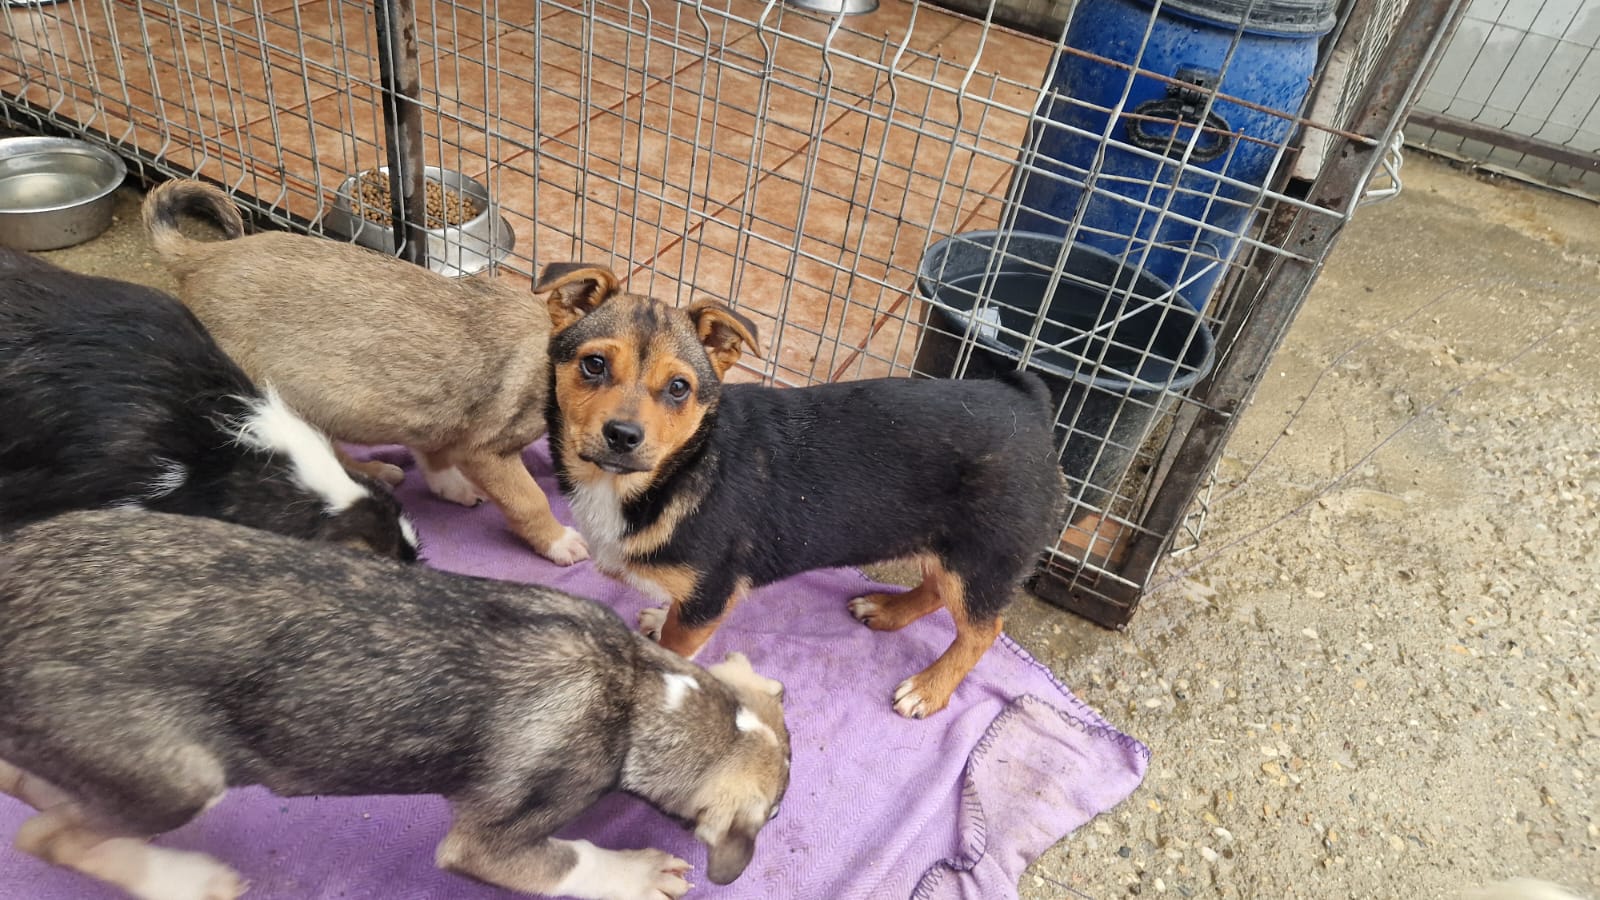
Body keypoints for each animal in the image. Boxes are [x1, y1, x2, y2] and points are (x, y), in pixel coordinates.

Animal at [0, 508, 790, 900]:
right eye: (778, 812)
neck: (640, 691)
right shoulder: (490, 842)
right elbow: (569, 862)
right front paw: (635, 873)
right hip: (178, 776)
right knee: (48, 838)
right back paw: (181, 881)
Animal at [140, 179, 586, 566]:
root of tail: (203, 258)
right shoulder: (489, 452)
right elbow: (529, 500)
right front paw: (560, 542)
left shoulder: (442, 425)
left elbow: (435, 455)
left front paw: (450, 487)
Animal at [533, 262, 1064, 719]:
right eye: (594, 364)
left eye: (679, 388)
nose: (623, 435)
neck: (674, 472)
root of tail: (1028, 401)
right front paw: (660, 616)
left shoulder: (710, 596)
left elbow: (676, 652)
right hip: (947, 545)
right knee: (936, 588)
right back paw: (888, 609)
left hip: (982, 557)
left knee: (983, 630)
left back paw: (929, 689)